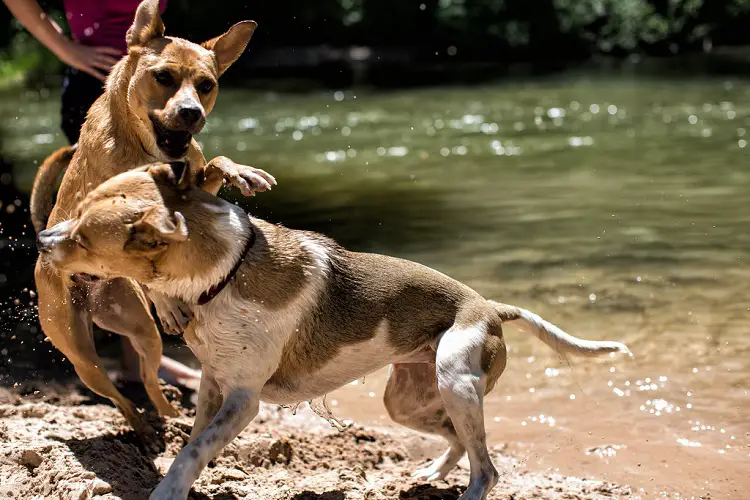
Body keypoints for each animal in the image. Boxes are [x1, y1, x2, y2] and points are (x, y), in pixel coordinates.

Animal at [30, 0, 276, 438]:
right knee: (114, 392)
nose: (191, 113)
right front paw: (167, 301)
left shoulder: (195, 189)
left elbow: (215, 162)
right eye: (163, 77)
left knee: (146, 376)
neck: (145, 147)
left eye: (206, 85)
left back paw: (168, 415)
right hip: (78, 350)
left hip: (140, 328)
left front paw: (241, 171)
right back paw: (141, 426)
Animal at [36, 161, 636, 500]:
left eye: (85, 236)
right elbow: (193, 444)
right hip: (409, 399)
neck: (227, 271)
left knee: (487, 469)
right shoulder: (210, 383)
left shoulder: (244, 398)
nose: (41, 239)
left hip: (454, 381)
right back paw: (430, 473)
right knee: (458, 442)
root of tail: (489, 307)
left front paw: (167, 491)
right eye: (78, 207)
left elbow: (193, 450)